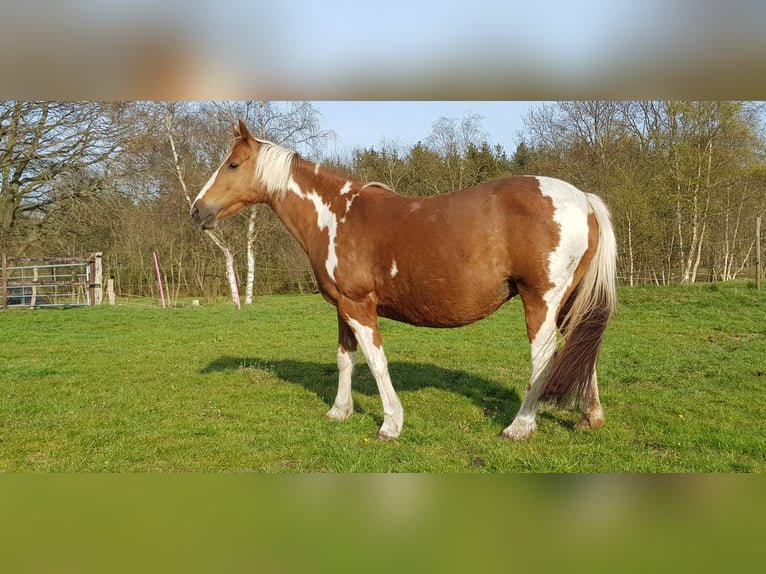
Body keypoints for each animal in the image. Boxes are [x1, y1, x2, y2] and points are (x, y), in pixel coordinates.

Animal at [190, 119, 616, 444]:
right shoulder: (343, 306)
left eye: (232, 164)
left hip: (541, 300)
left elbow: (376, 361)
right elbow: (346, 359)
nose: (197, 211)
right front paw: (339, 411)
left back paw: (519, 427)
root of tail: (583, 199)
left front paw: (391, 423)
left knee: (544, 358)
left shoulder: (359, 305)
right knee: (581, 350)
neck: (335, 216)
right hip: (571, 302)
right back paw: (589, 418)